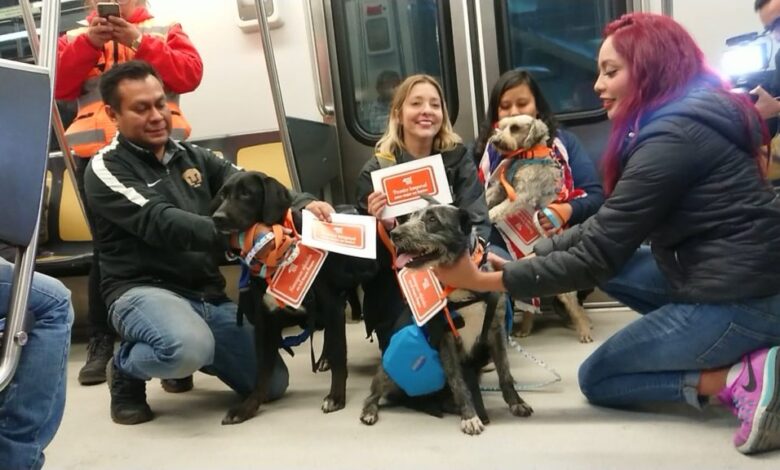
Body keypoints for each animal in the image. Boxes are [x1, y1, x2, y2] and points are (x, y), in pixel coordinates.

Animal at [210, 171, 374, 424]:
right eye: (223, 195)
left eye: (246, 193)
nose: (217, 218)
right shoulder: (265, 322)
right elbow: (262, 372)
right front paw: (248, 407)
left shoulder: (332, 305)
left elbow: (340, 356)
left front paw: (336, 397)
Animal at [362, 204, 532, 436]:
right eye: (410, 217)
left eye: (432, 219)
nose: (395, 234)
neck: (461, 288)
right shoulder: (447, 341)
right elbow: (459, 383)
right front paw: (470, 416)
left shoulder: (495, 333)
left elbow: (505, 374)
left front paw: (517, 403)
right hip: (387, 369)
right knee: (374, 393)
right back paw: (369, 411)